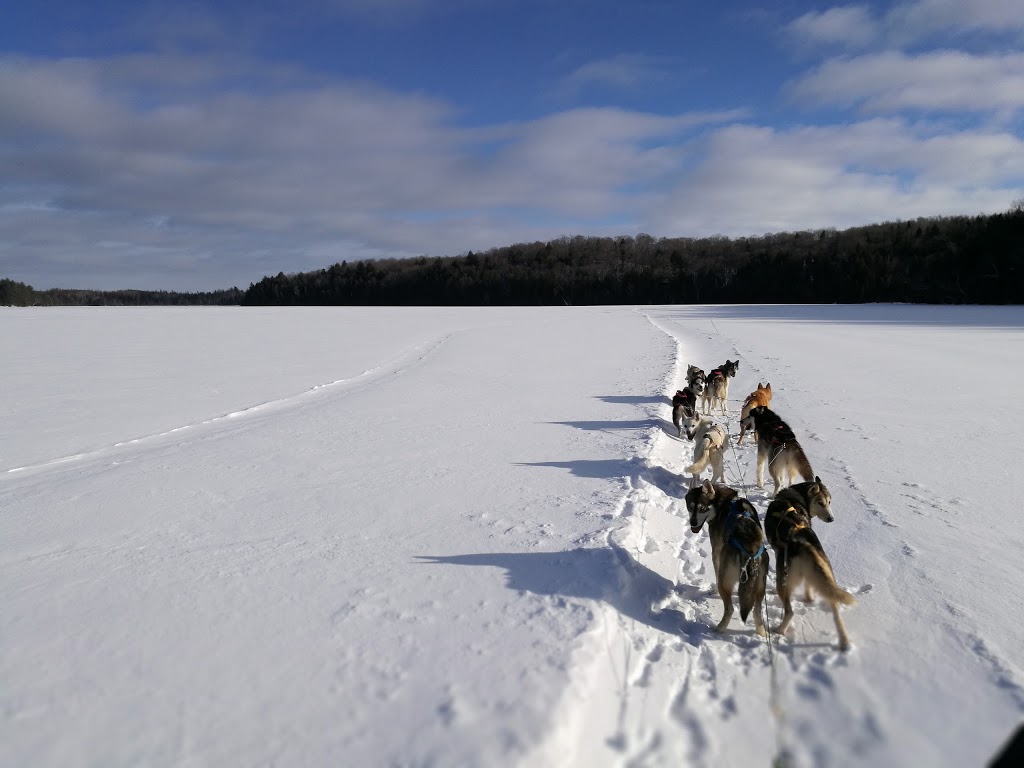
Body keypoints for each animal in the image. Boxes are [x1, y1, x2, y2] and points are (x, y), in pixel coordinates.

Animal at [688, 481, 770, 638]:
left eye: (702, 508)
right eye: (689, 507)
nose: (693, 523)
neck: (721, 503)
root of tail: (751, 551)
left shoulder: (716, 552)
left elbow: (716, 571)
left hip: (725, 581)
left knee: (730, 608)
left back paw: (719, 628)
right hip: (760, 586)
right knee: (757, 611)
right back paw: (761, 633)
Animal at [765, 481, 851, 651]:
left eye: (829, 502)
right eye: (821, 503)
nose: (831, 518)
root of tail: (803, 543)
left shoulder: (778, 556)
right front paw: (809, 596)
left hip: (787, 580)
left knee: (789, 611)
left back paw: (780, 629)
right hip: (827, 577)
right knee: (836, 613)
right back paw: (844, 641)